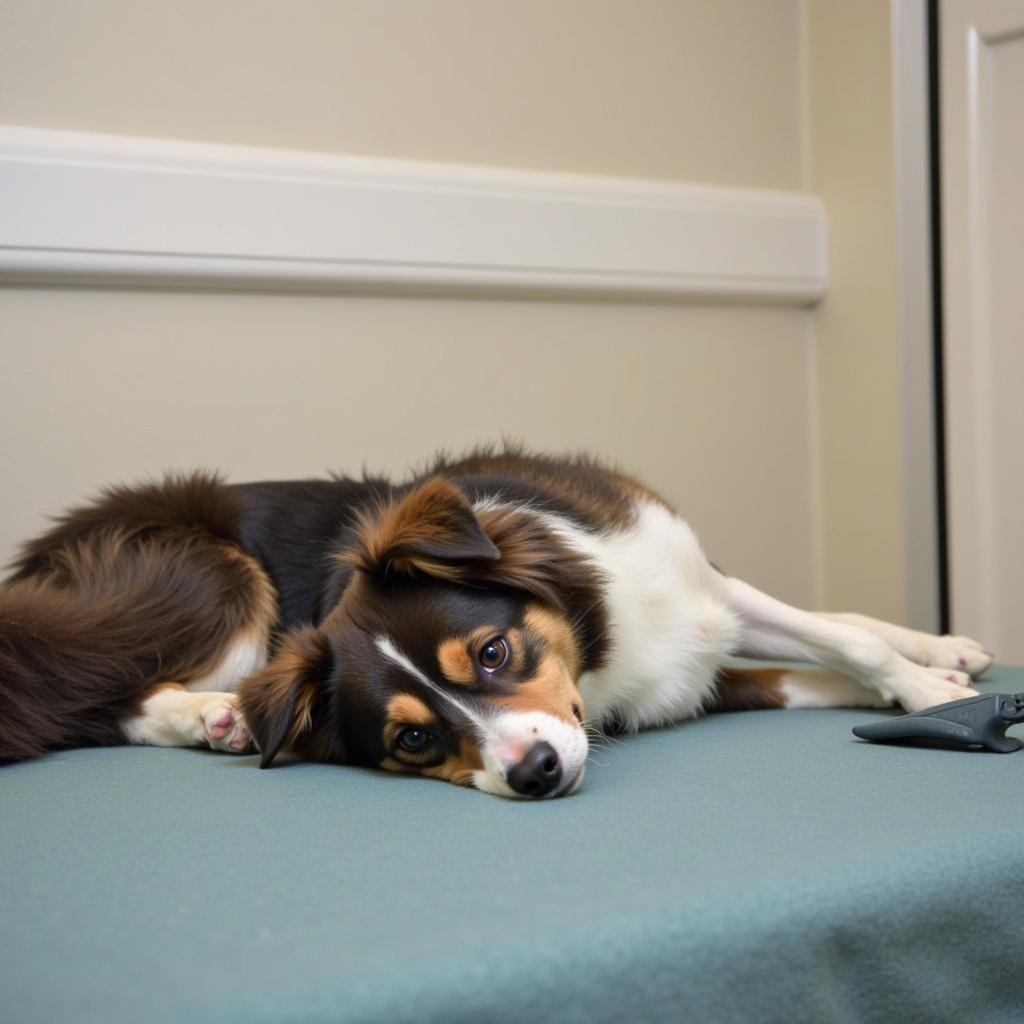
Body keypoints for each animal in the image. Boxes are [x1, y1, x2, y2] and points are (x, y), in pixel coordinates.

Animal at [0, 450, 991, 798]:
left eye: (493, 650)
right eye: (410, 742)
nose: (537, 772)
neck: (598, 652)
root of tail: (40, 562)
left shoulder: (697, 605)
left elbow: (841, 632)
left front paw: (932, 668)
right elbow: (837, 641)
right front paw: (930, 687)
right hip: (215, 580)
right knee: (98, 699)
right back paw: (215, 715)